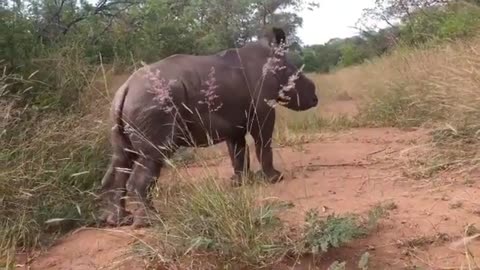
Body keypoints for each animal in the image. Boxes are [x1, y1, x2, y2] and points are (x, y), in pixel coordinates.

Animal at [98, 26, 318, 227]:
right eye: (299, 76)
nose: (315, 97)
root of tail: (125, 88)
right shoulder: (263, 108)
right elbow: (263, 142)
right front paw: (274, 178)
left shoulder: (234, 121)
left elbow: (237, 151)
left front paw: (240, 183)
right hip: (153, 102)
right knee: (153, 155)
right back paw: (151, 221)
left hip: (127, 106)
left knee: (121, 157)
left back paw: (119, 221)